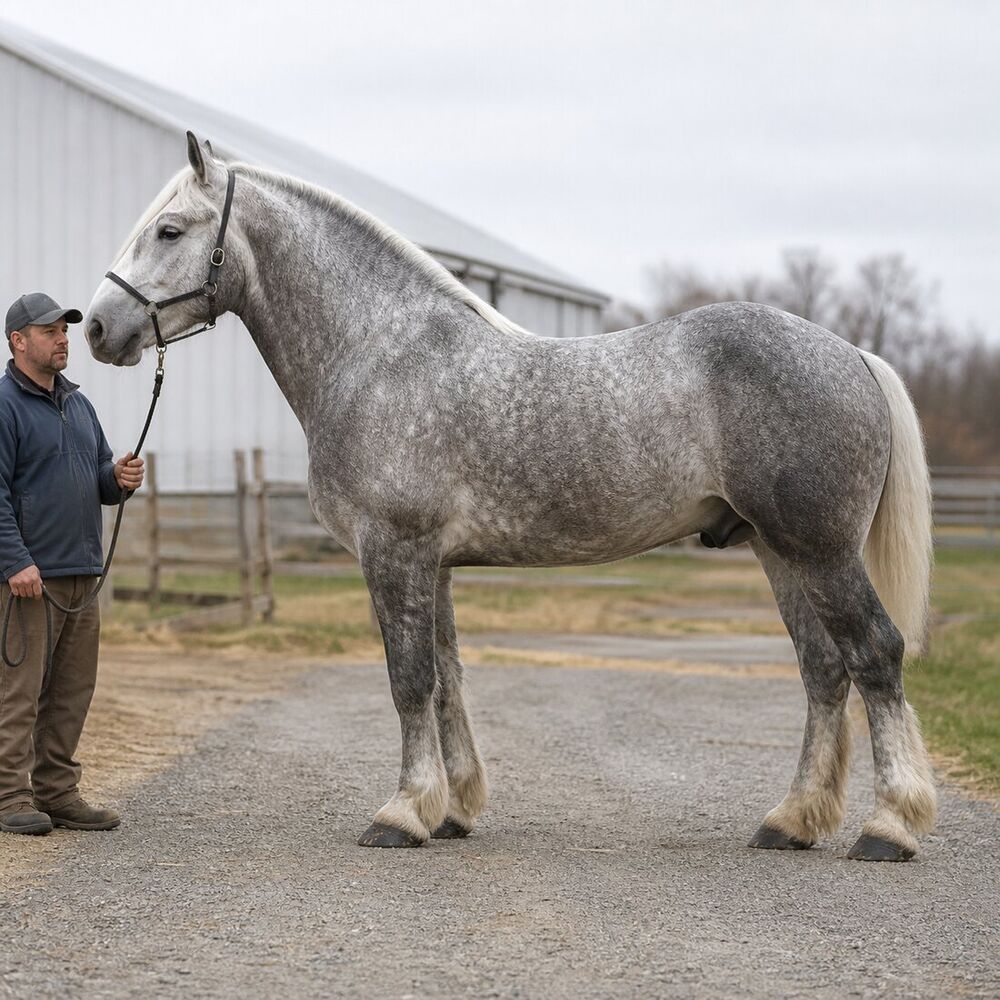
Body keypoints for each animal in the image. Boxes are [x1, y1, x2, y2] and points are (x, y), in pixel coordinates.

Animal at [84, 132, 937, 862]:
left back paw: (889, 827)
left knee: (874, 655)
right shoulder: (434, 563)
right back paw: (791, 821)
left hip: (819, 550)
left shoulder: (395, 551)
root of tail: (851, 354)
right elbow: (447, 680)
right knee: (824, 672)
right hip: (777, 550)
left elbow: (409, 681)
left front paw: (401, 814)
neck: (382, 355)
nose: (95, 327)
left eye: (169, 231)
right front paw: (453, 810)